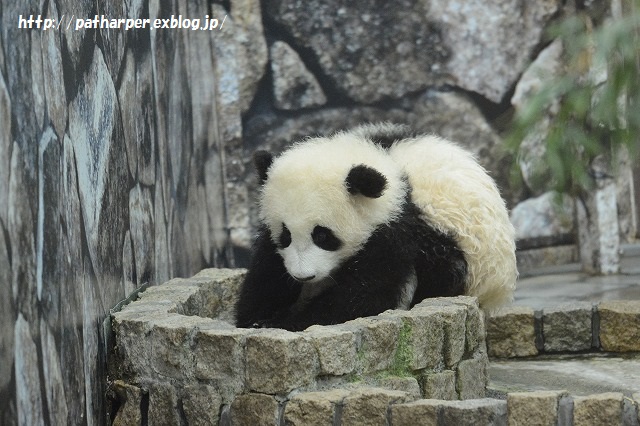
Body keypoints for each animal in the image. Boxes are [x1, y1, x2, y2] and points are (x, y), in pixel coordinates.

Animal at [238, 121, 516, 332]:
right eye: (285, 236)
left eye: (323, 236)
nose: (302, 276)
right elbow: (267, 270)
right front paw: (257, 317)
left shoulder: (398, 233)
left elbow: (364, 295)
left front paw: (285, 322)